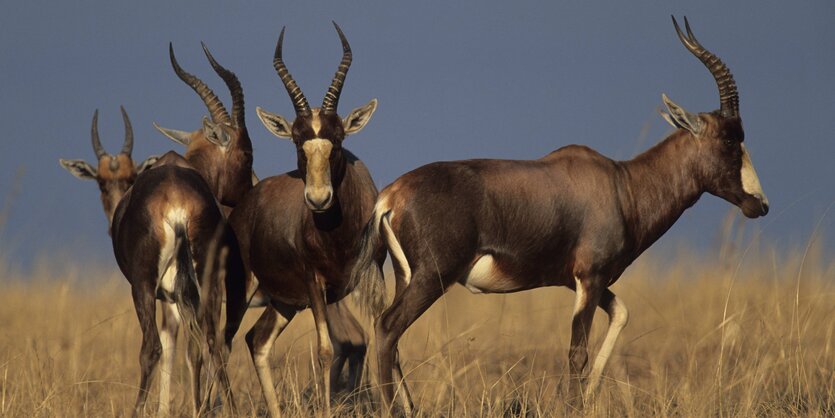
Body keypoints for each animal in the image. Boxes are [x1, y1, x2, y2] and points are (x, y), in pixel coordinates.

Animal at [57, 107, 242, 414]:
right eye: (101, 182)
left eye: (130, 178)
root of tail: (177, 203)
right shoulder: (180, 297)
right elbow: (189, 348)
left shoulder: (162, 295)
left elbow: (166, 347)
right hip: (209, 283)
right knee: (213, 342)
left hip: (143, 287)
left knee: (152, 348)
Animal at [230, 22, 384, 418]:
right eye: (298, 143)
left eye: (338, 140)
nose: (317, 199)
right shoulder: (316, 285)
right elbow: (326, 350)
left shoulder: (370, 278)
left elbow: (382, 337)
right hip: (243, 290)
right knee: (213, 342)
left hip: (284, 302)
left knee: (257, 340)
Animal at [352, 15, 772, 412]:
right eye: (730, 140)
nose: (760, 204)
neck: (621, 184)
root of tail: (391, 195)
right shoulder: (590, 277)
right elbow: (577, 352)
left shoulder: (579, 280)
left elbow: (622, 314)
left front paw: (588, 398)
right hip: (432, 276)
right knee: (388, 327)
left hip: (407, 276)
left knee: (390, 334)